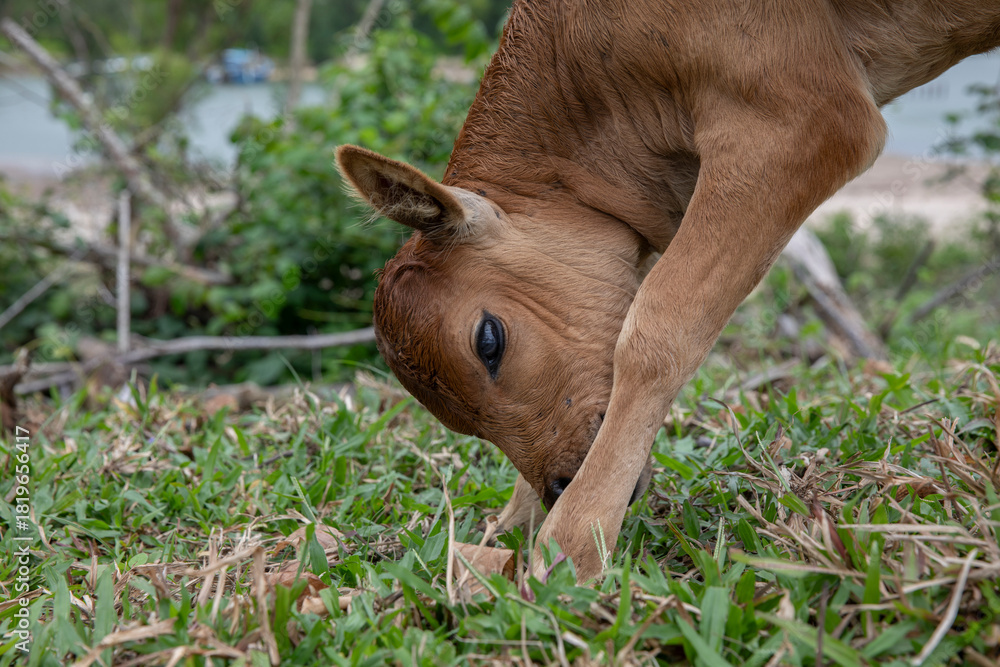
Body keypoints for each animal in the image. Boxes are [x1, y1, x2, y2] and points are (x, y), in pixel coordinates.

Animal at [337, 0, 1000, 582]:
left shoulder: (800, 123)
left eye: (490, 340)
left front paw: (572, 542)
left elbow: (658, 330)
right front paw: (510, 526)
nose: (557, 485)